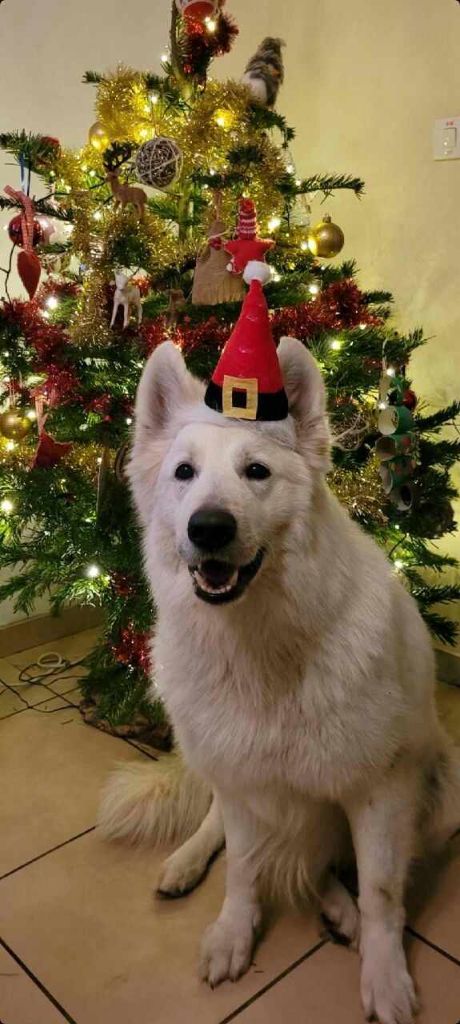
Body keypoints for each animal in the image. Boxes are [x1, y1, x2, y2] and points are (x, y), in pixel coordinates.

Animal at [99, 336, 459, 1024]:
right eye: (183, 473)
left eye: (257, 472)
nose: (208, 528)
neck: (260, 646)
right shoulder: (243, 784)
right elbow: (241, 867)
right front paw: (233, 933)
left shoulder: (381, 789)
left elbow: (380, 891)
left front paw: (384, 974)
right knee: (222, 827)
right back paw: (187, 863)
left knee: (324, 864)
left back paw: (340, 911)